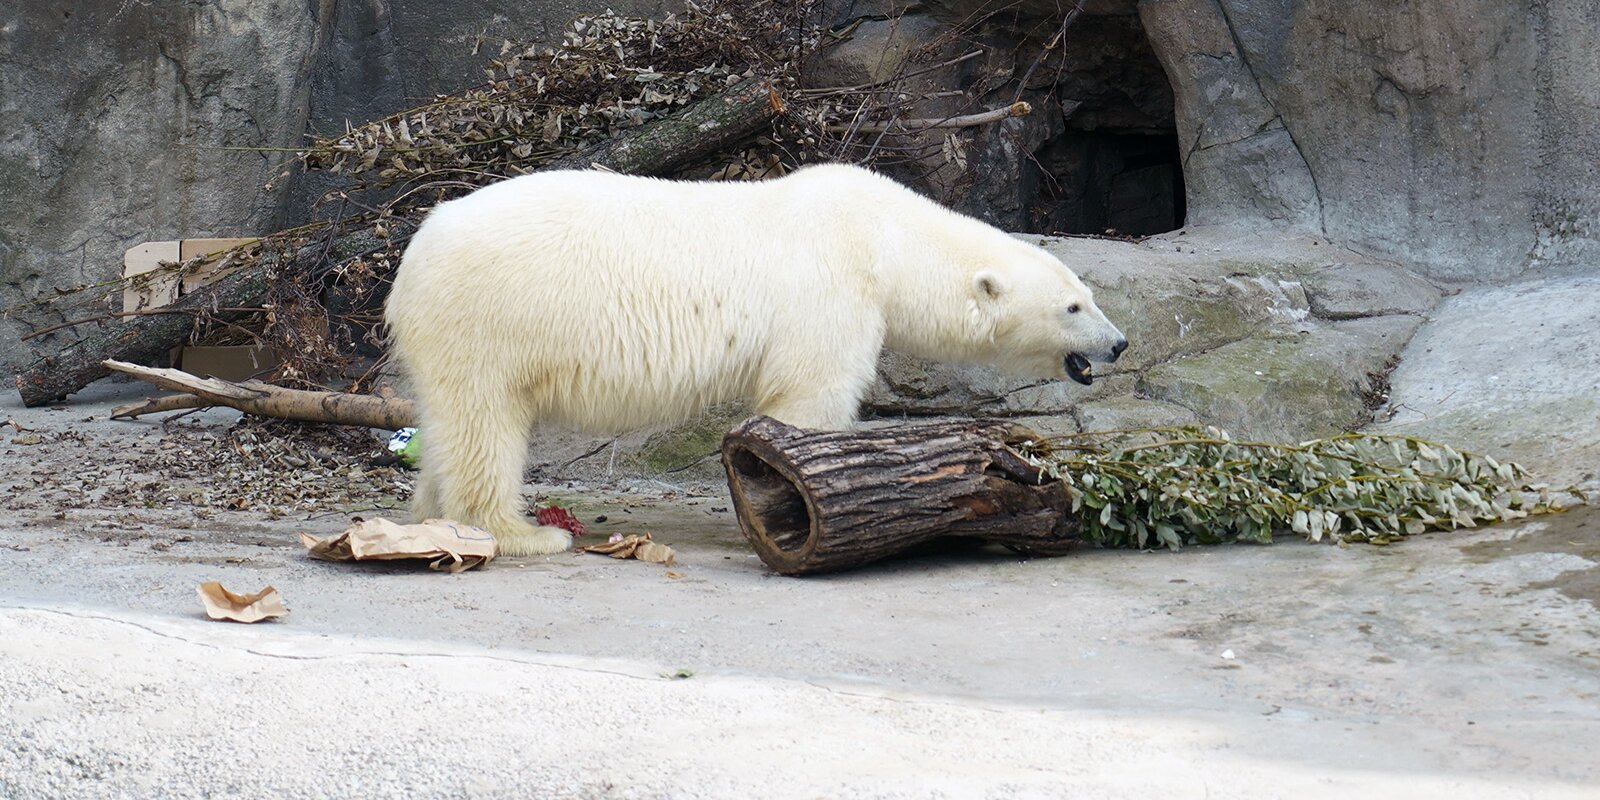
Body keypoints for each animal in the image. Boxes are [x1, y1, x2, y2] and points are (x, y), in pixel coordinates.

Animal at [385, 164, 1126, 553]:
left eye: (1088, 295)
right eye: (1073, 308)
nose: (1117, 343)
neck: (884, 237)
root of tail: (415, 252)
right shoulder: (830, 290)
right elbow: (810, 395)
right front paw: (805, 494)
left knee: (449, 421)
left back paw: (431, 515)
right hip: (491, 319)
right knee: (486, 421)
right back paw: (524, 533)